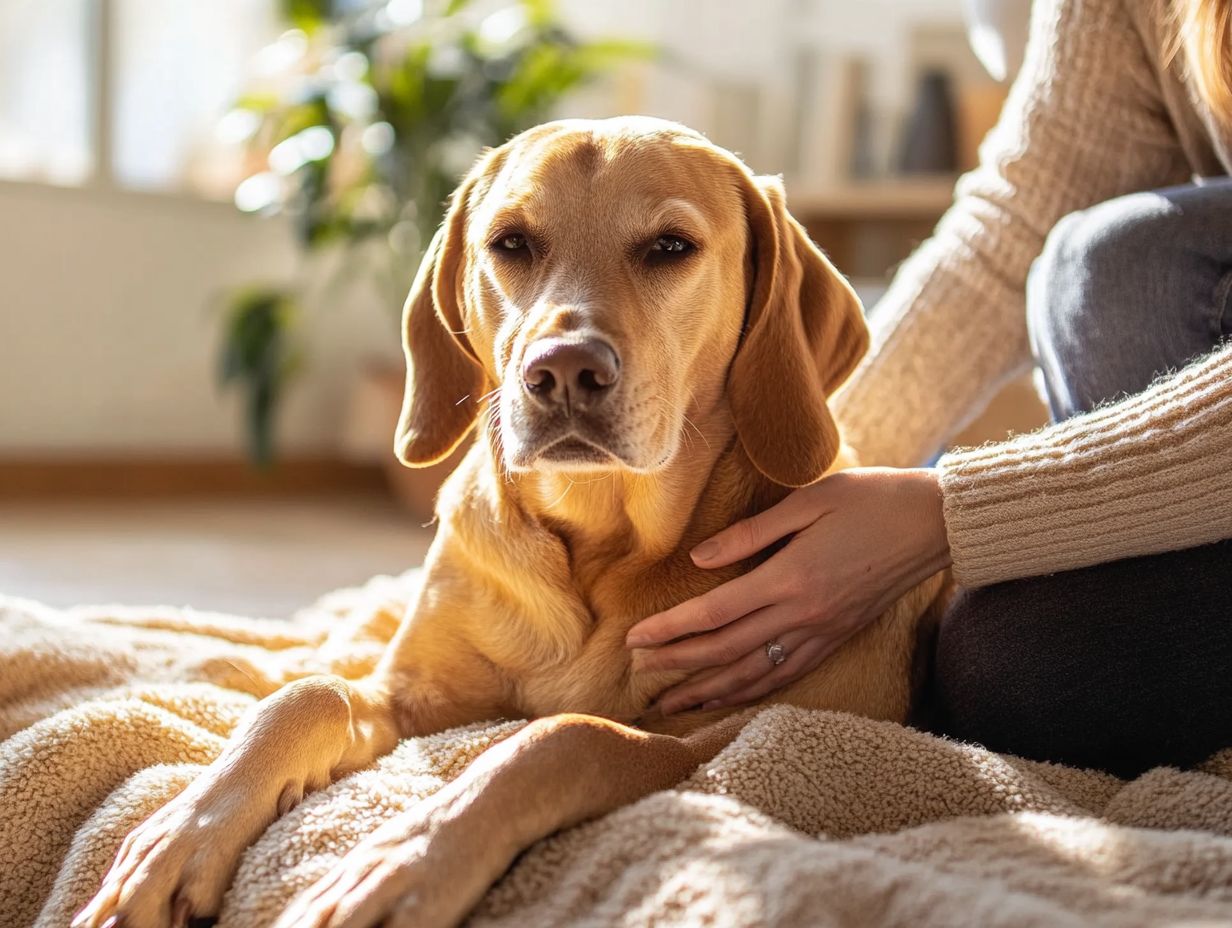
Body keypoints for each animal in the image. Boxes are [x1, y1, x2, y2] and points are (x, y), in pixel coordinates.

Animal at [74, 119, 941, 926]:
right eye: (511, 243)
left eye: (671, 246)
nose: (563, 371)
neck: (596, 536)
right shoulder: (410, 692)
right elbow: (305, 696)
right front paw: (179, 837)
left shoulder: (731, 733)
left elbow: (566, 737)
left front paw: (407, 858)